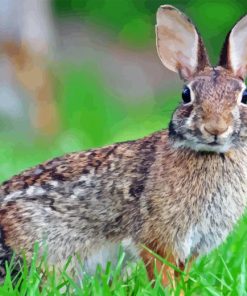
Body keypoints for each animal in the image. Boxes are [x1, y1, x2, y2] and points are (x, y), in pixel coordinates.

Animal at [0, 4, 247, 286]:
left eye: (244, 96)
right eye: (186, 94)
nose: (216, 128)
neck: (211, 154)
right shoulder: (158, 239)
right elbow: (163, 275)